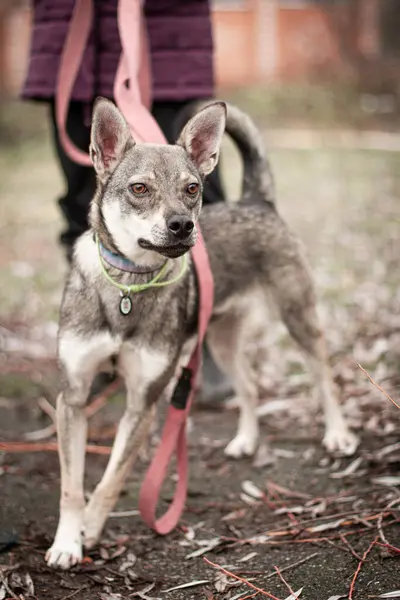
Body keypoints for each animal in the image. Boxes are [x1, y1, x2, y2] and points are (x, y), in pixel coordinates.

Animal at [45, 97, 358, 568]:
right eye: (140, 188)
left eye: (192, 189)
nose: (182, 225)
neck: (128, 286)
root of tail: (257, 201)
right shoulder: (73, 398)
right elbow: (69, 487)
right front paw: (67, 543)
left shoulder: (143, 402)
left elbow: (110, 480)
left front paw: (91, 531)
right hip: (222, 339)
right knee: (248, 386)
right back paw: (246, 440)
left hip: (297, 315)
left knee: (324, 376)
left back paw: (338, 435)